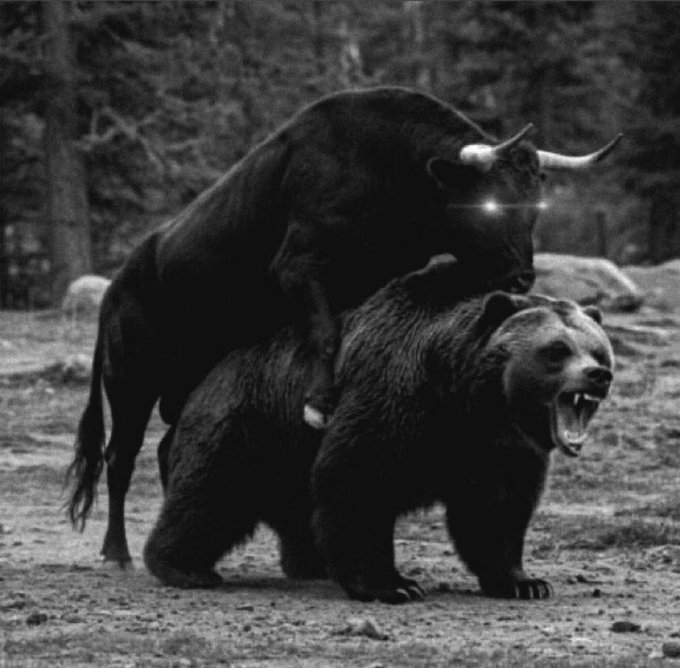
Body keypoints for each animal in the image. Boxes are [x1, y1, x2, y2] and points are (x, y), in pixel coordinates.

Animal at [65, 85, 621, 567]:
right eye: (488, 203)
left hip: (180, 386)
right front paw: (317, 403)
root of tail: (115, 290)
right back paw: (117, 551)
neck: (387, 173)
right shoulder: (298, 267)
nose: (522, 277)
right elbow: (326, 332)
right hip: (130, 384)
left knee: (165, 448)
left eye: (536, 205)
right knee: (119, 459)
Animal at [143, 259, 614, 602]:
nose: (598, 375)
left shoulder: (500, 447)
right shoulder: (393, 400)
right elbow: (358, 483)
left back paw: (310, 564)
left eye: (597, 348)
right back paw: (184, 567)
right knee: (211, 495)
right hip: (250, 424)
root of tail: (205, 377)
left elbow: (495, 510)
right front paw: (394, 585)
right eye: (556, 350)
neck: (467, 400)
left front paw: (524, 582)